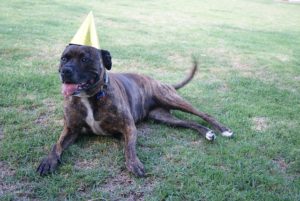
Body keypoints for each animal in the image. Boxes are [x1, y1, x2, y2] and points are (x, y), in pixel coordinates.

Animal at [37, 44, 233, 177]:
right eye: (64, 58)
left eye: (84, 59)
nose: (65, 71)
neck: (90, 97)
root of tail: (160, 81)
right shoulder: (71, 129)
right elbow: (57, 144)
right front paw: (48, 161)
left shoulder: (128, 127)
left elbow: (129, 147)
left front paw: (134, 164)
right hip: (162, 116)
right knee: (190, 123)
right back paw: (207, 133)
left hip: (171, 98)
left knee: (203, 114)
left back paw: (223, 129)